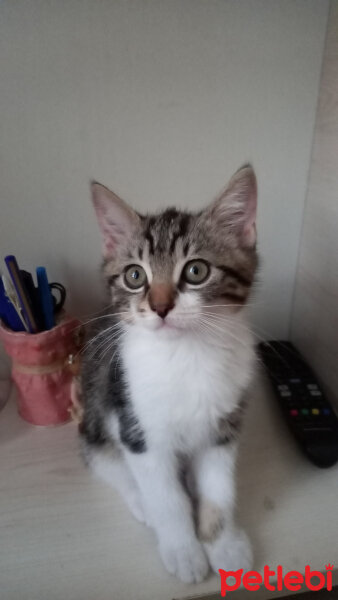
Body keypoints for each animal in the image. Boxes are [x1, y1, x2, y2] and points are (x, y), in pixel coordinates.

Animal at [80, 164, 258, 580]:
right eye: (134, 276)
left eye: (196, 270)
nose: (160, 306)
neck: (185, 353)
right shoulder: (138, 428)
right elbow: (165, 497)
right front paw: (183, 550)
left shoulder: (224, 426)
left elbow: (219, 488)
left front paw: (224, 545)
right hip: (96, 410)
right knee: (103, 459)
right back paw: (140, 501)